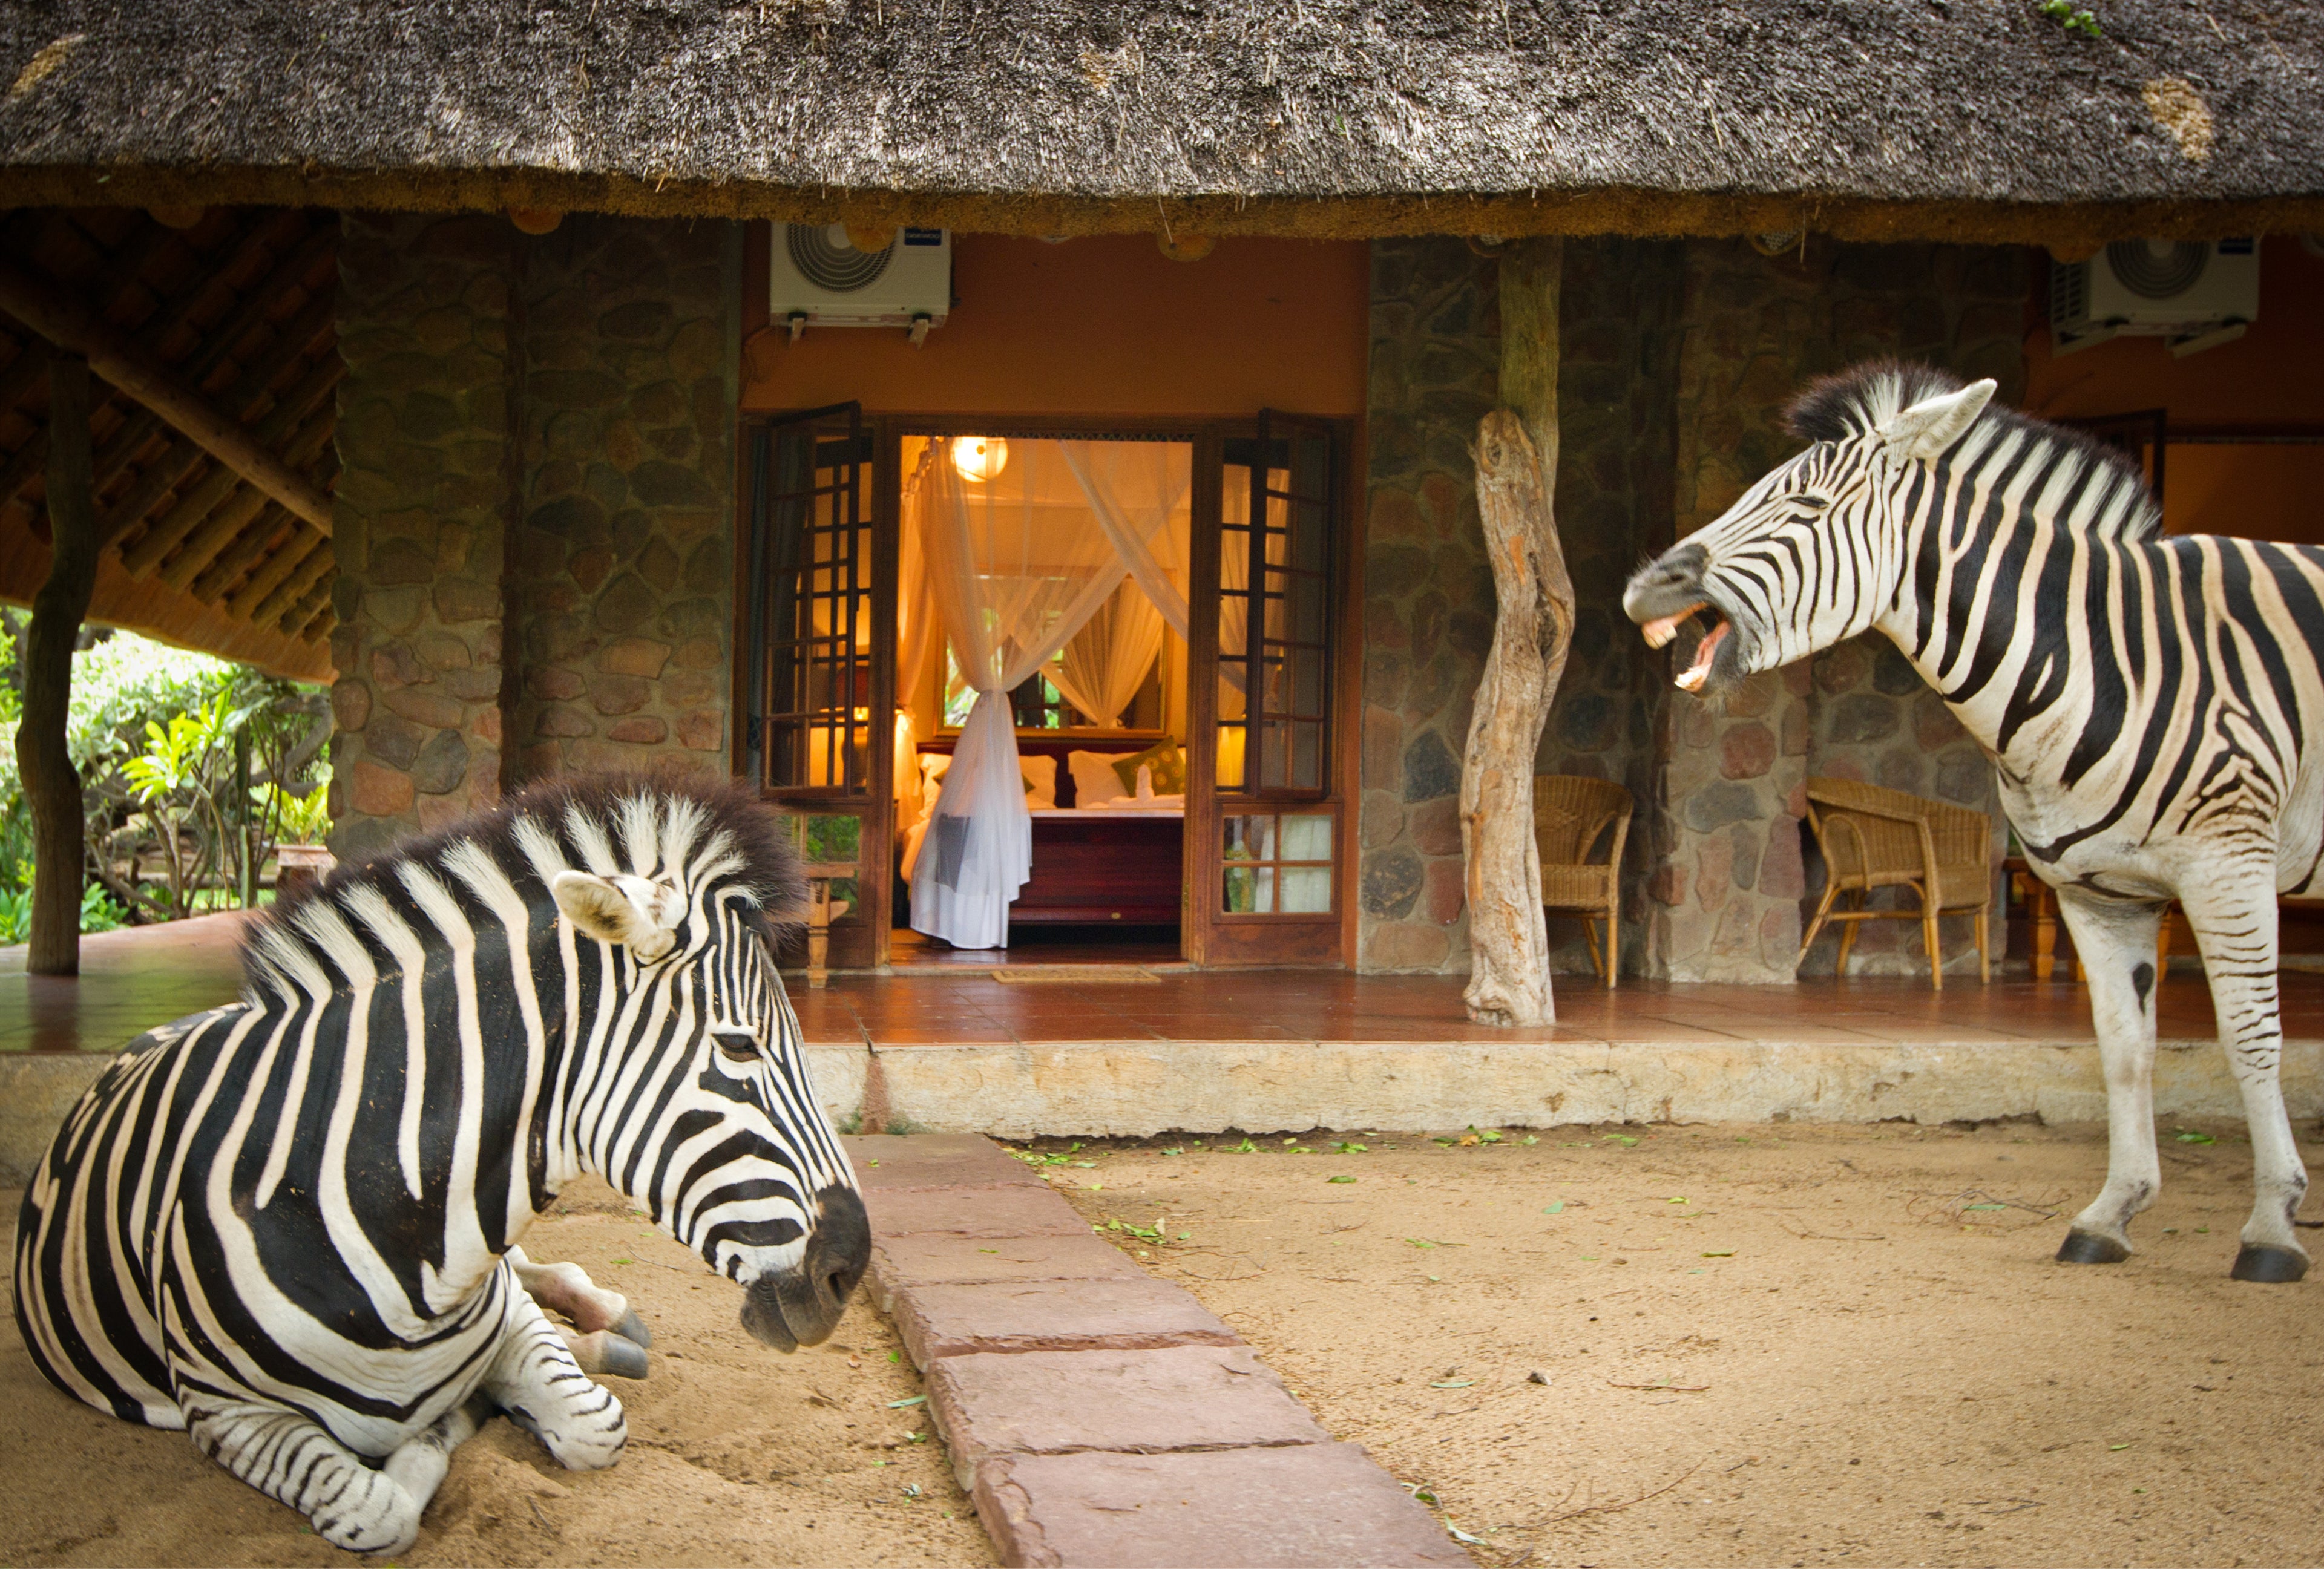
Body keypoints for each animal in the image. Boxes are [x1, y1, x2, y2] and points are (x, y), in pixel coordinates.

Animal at [14, 775, 868, 1552]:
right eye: (740, 1047)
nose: (850, 1269)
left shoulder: (509, 1312)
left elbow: (592, 1423)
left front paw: (479, 1405)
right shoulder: (223, 1410)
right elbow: (378, 1507)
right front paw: (459, 1420)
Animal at [1624, 361, 2320, 1284]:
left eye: (1806, 506)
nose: (1643, 589)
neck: (2097, 664)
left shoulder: (2228, 861)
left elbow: (2251, 1037)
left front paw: (2272, 1227)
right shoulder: (2100, 890)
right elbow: (2123, 1047)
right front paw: (2111, 1213)